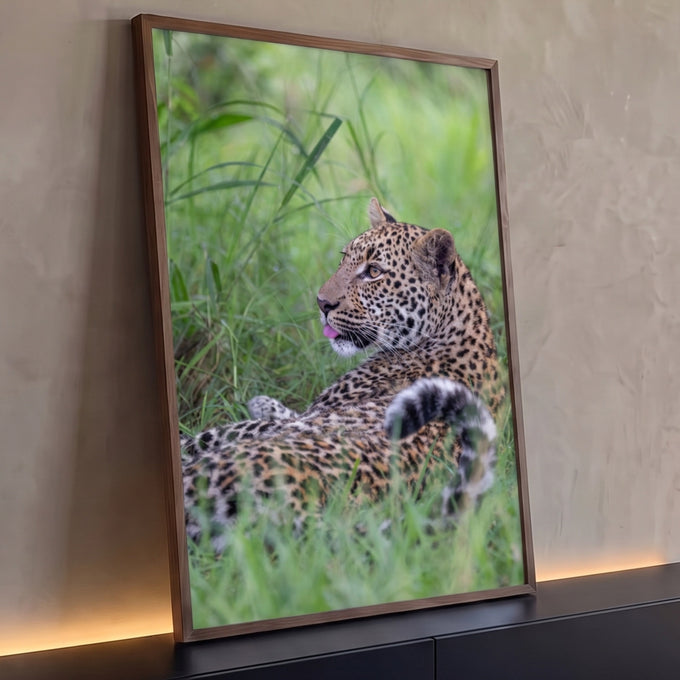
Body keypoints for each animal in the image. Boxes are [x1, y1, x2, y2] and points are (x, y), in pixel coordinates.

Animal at [181, 198, 505, 550]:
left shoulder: (302, 419)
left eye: (373, 272)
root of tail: (308, 513)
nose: (322, 302)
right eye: (344, 258)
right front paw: (264, 401)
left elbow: (227, 429)